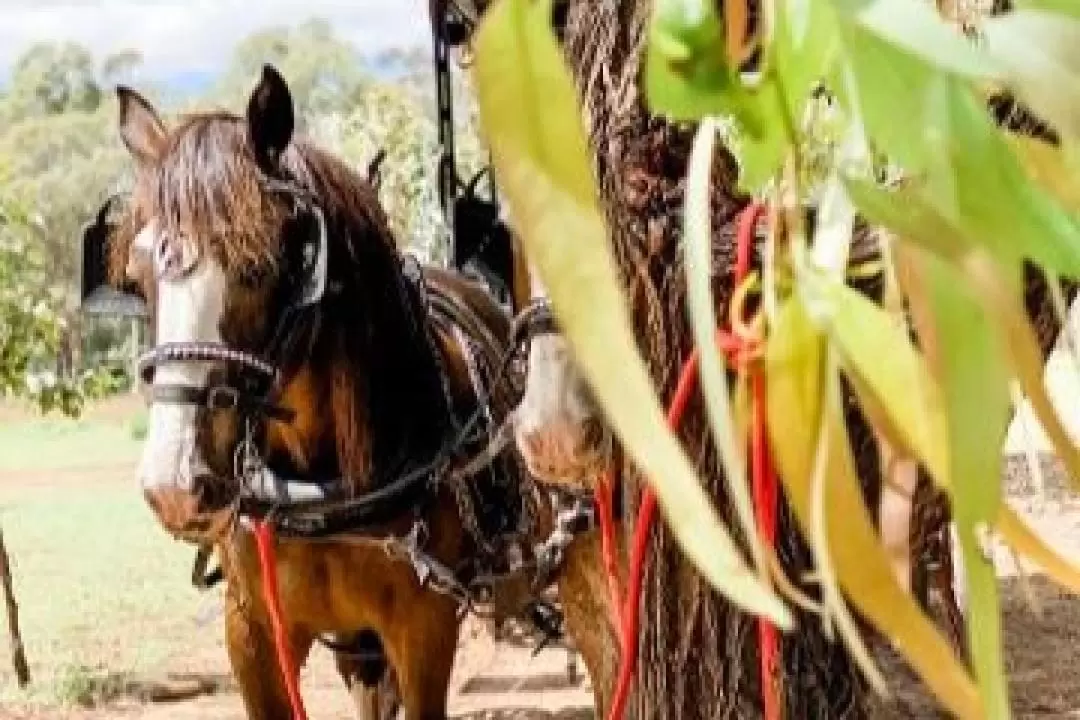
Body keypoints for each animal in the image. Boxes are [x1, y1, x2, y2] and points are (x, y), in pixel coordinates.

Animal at [100, 64, 540, 716]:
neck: (320, 486)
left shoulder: (425, 629)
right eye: (137, 276)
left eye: (258, 265)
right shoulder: (252, 632)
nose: (173, 487)